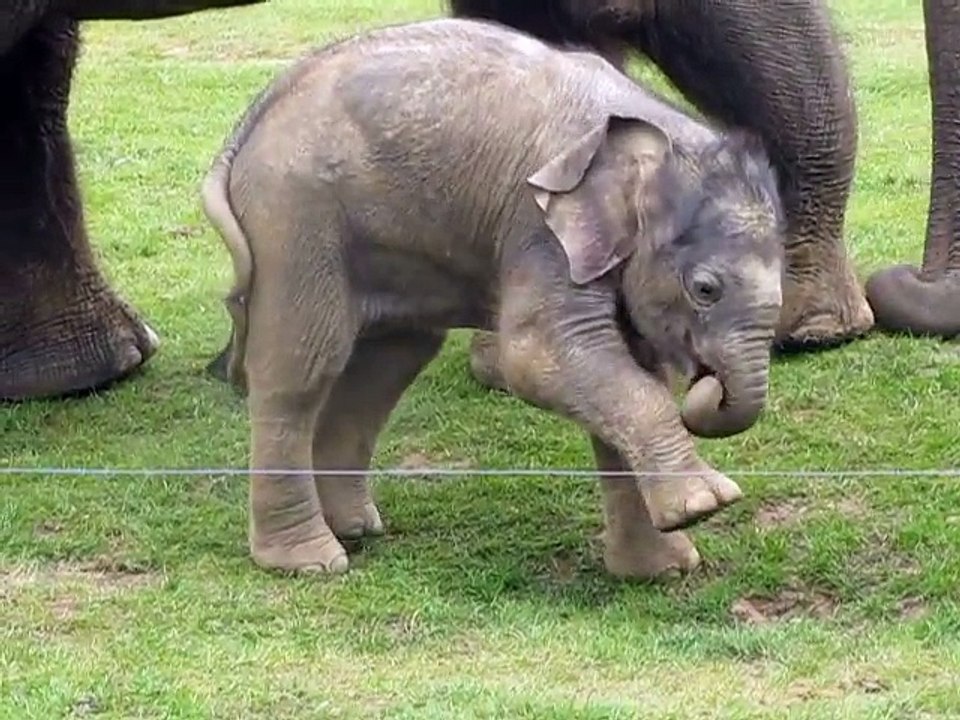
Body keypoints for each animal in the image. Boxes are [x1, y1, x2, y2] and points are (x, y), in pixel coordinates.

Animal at [202, 18, 786, 578]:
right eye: (705, 289)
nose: (708, 384)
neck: (654, 131)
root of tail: (248, 126)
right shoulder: (538, 227)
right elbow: (540, 357)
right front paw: (707, 504)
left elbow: (628, 370)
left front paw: (663, 570)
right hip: (294, 218)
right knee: (302, 371)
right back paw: (311, 561)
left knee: (386, 366)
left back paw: (354, 529)